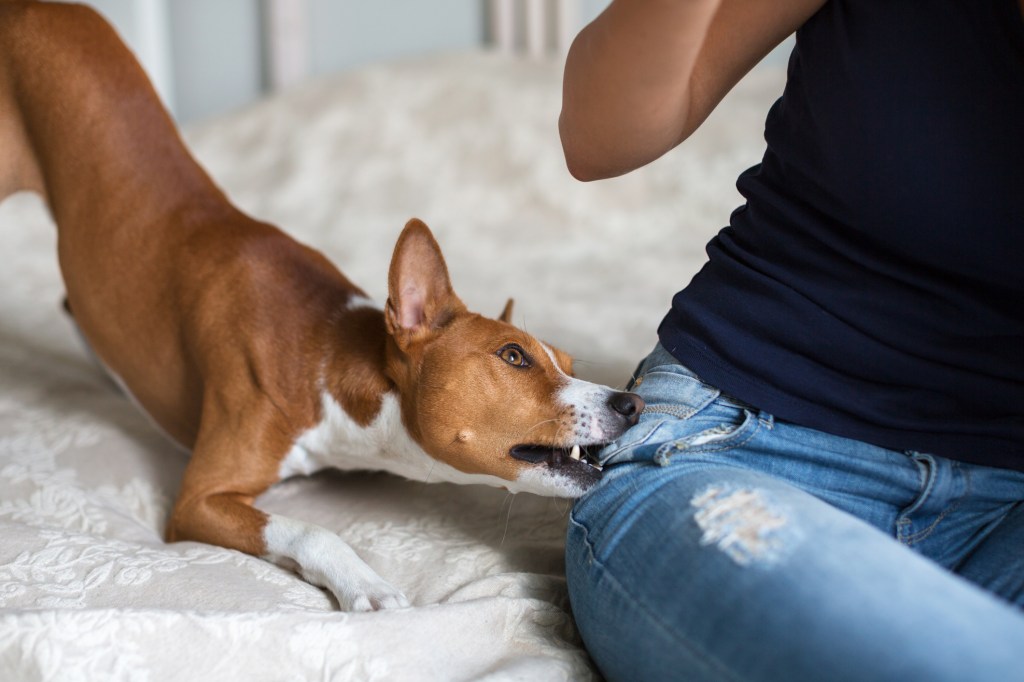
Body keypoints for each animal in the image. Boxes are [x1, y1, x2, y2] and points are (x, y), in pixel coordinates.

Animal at [0, 0, 638, 606]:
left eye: (567, 363)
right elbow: (311, 529)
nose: (631, 403)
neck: (324, 355)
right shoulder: (198, 499)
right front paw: (367, 585)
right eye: (513, 357)